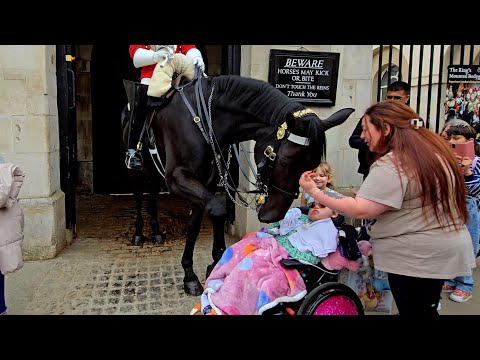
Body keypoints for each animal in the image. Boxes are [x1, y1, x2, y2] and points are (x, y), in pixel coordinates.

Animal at [138, 71, 352, 296]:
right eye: (285, 160)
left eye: (311, 167)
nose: (274, 216)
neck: (203, 118)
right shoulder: (177, 177)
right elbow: (218, 211)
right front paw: (214, 261)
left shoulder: (207, 181)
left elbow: (195, 224)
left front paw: (196, 271)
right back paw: (138, 233)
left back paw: (155, 231)